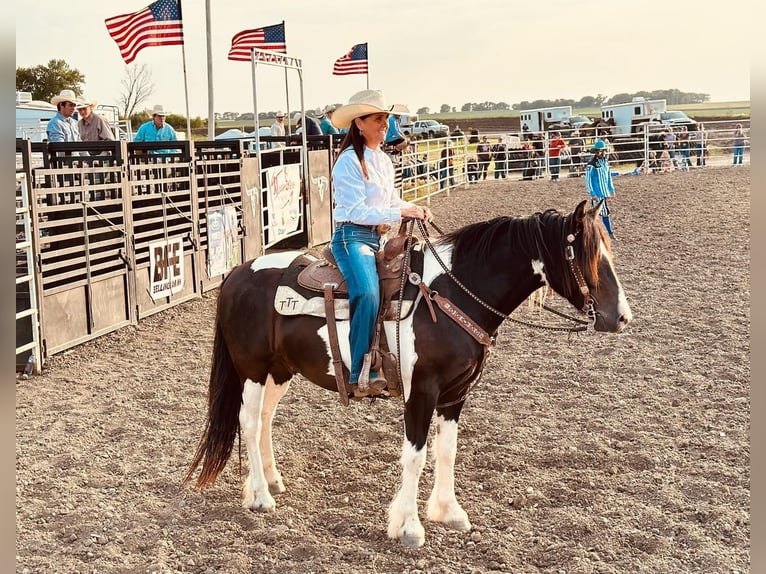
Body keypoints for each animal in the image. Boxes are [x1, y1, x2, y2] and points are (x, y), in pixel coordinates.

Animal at [184, 201, 632, 548]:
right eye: (589, 256)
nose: (621, 317)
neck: (452, 294)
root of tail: (237, 273)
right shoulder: (422, 392)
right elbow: (414, 456)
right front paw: (409, 526)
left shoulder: (455, 394)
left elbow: (447, 450)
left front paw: (449, 511)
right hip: (252, 369)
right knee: (247, 420)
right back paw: (260, 496)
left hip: (280, 370)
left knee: (264, 419)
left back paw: (273, 480)